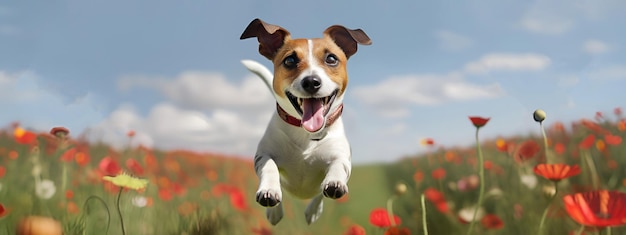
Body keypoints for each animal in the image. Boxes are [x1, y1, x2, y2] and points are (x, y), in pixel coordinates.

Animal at [236, 17, 368, 224]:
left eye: (331, 59)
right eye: (290, 60)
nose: (311, 82)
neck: (306, 133)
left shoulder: (341, 155)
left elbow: (339, 166)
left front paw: (335, 182)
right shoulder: (264, 154)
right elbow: (269, 166)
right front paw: (269, 190)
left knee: (319, 194)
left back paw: (313, 210)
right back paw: (275, 212)